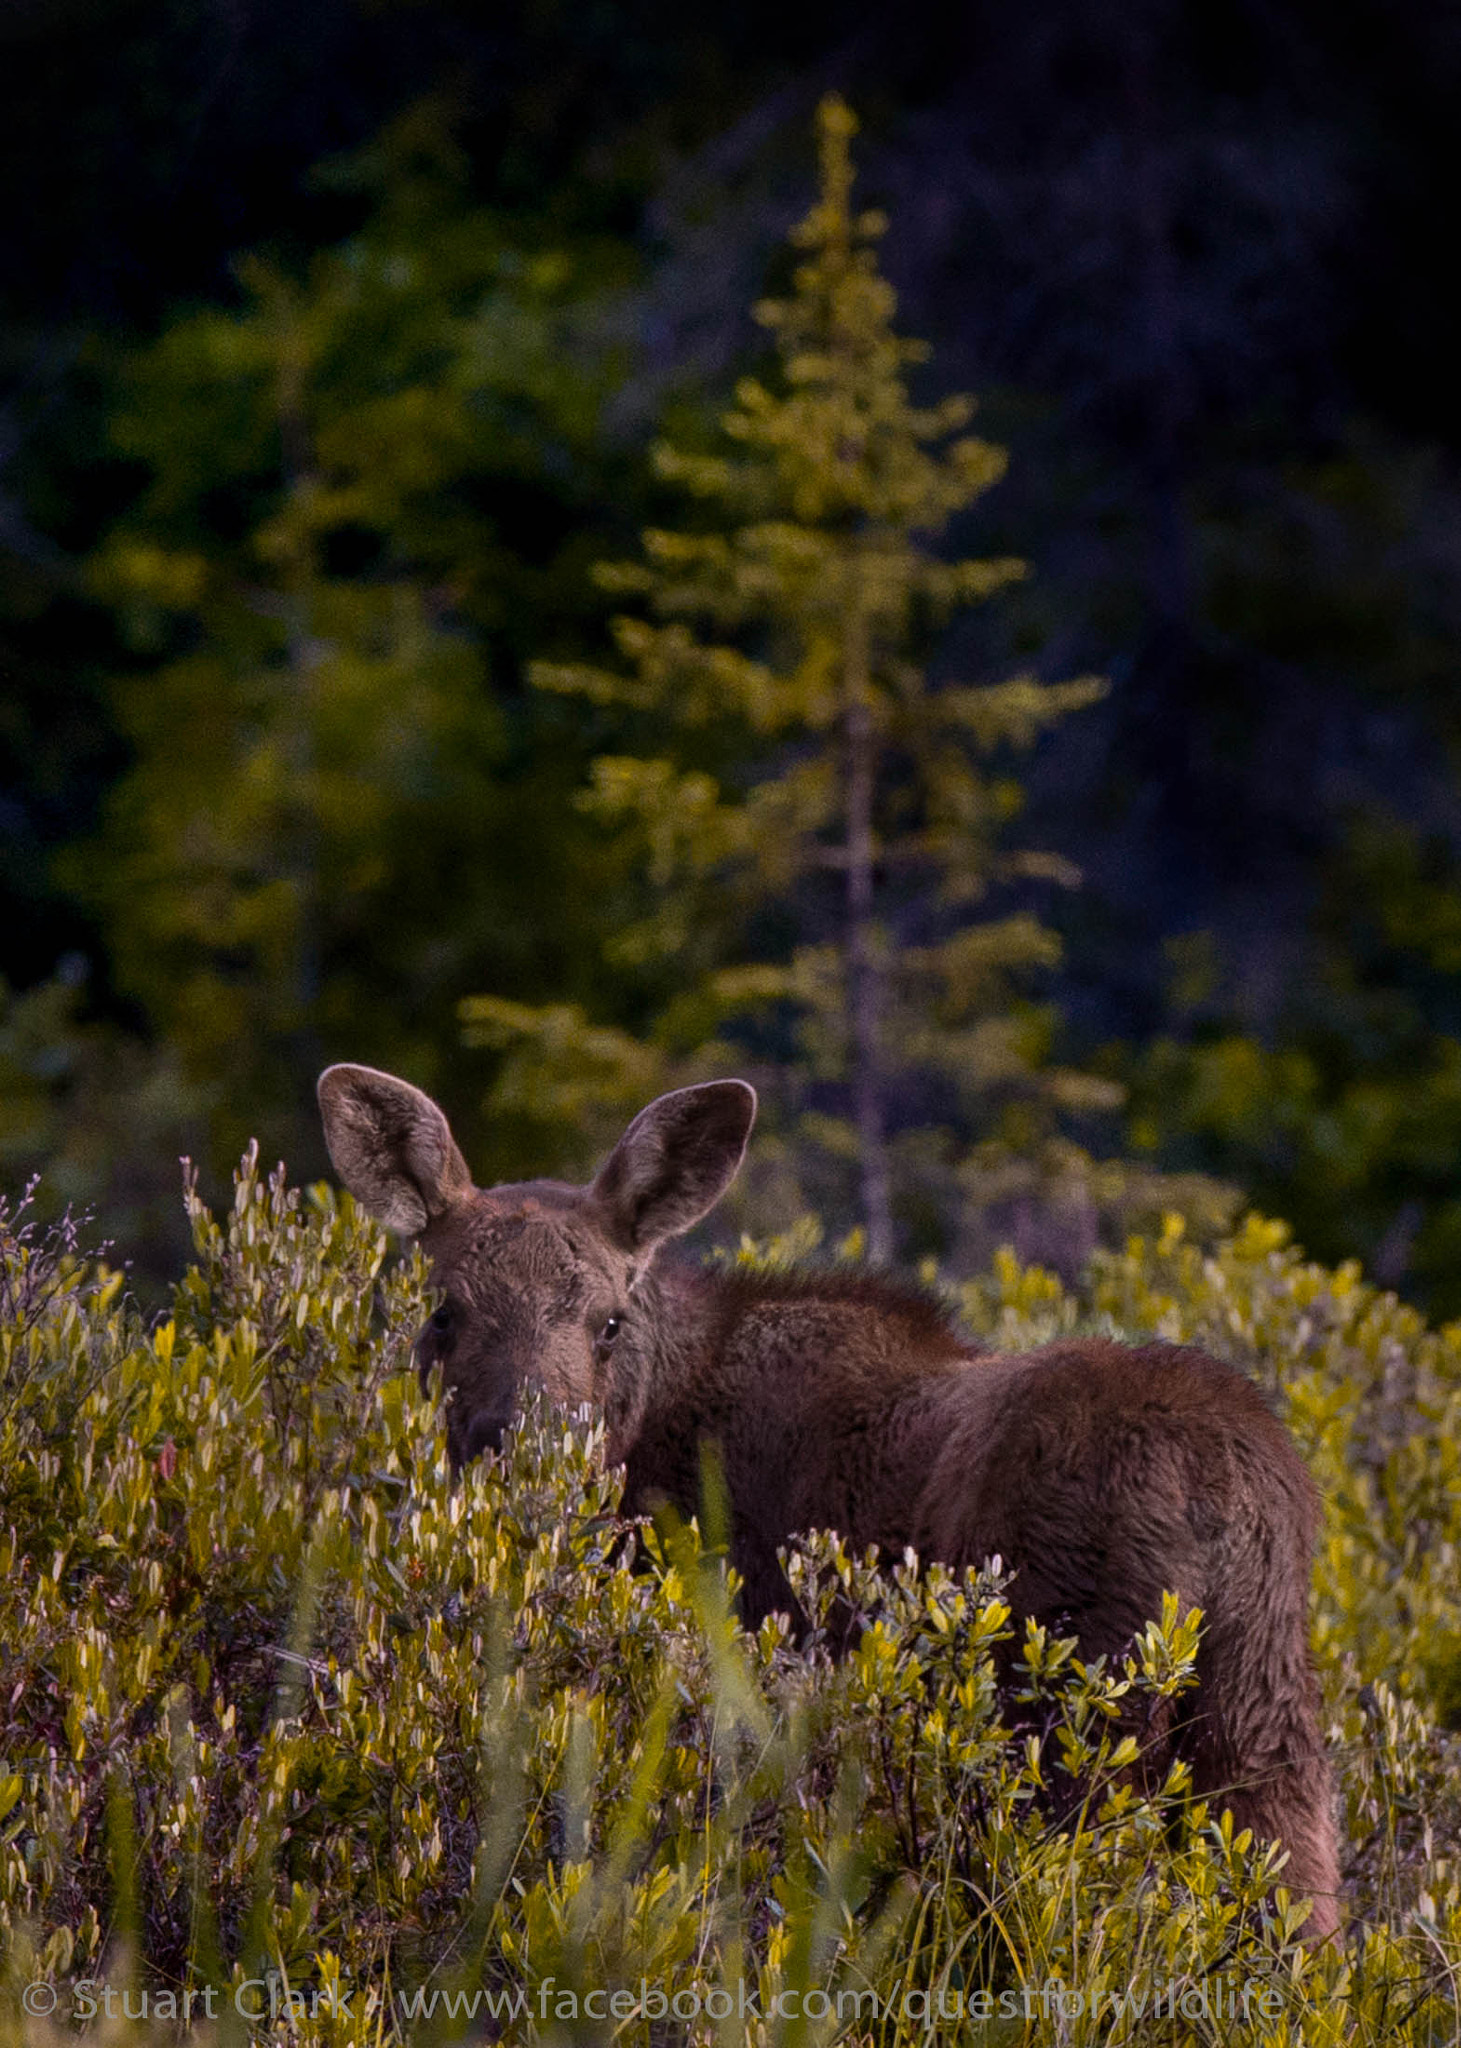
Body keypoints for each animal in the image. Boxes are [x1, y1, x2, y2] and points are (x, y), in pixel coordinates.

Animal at [321, 1064, 1344, 1941]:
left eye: (608, 1321)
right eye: (443, 1312)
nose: (525, 1446)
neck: (655, 1434)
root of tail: (1218, 1495)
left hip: (1072, 1707)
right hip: (1261, 1722)